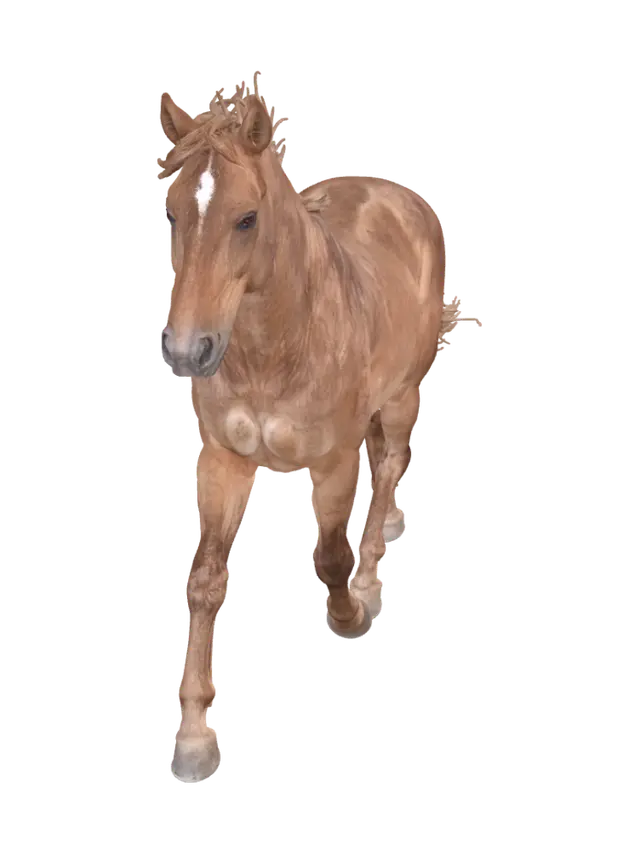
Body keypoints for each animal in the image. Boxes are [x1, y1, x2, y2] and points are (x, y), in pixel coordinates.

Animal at [156, 75, 458, 784]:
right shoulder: (223, 461)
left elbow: (329, 557)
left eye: (246, 219)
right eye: (173, 213)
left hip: (402, 395)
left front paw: (353, 611)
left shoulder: (335, 463)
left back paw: (374, 569)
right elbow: (205, 580)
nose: (186, 351)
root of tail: (395, 191)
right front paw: (194, 740)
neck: (279, 346)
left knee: (392, 464)